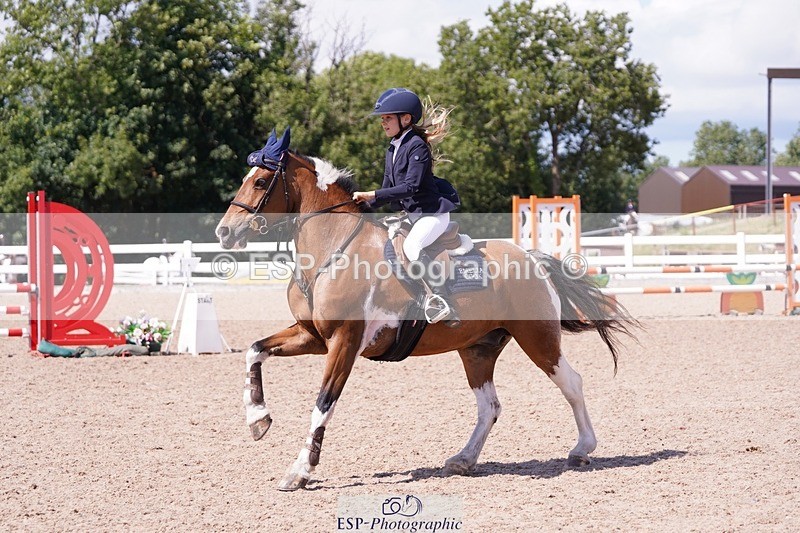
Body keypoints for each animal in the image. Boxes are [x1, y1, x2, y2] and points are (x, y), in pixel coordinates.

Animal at [215, 129, 635, 491]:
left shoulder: (344, 342)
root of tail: (530, 258)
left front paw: (300, 471)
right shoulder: (313, 336)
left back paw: (582, 449)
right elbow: (255, 350)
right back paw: (463, 460)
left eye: (260, 181)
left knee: (571, 383)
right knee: (489, 405)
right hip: (477, 348)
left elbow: (323, 404)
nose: (224, 232)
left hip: (537, 337)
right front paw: (258, 420)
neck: (332, 249)